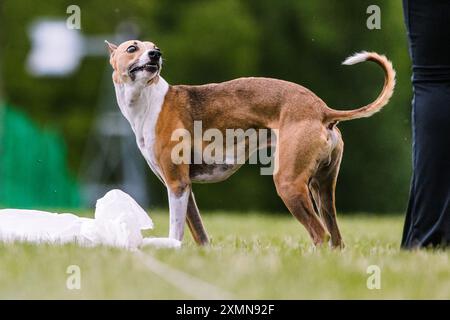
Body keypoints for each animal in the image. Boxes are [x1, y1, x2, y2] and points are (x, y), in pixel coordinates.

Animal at [107, 40, 396, 249]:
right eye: (132, 47)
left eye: (152, 46)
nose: (156, 54)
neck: (150, 100)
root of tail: (322, 109)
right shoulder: (183, 188)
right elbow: (200, 234)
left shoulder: (177, 185)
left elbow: (175, 231)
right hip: (322, 189)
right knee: (336, 239)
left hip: (289, 185)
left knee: (320, 235)